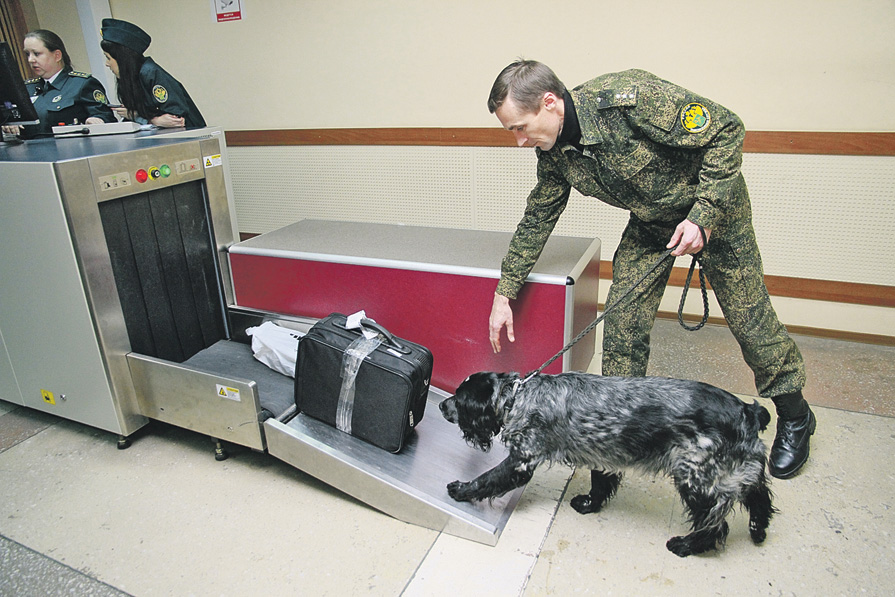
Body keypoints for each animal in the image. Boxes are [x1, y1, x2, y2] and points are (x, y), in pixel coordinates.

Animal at [440, 370, 776, 556]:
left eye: (459, 398)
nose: (442, 405)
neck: (519, 397)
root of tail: (748, 410)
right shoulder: (601, 455)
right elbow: (600, 484)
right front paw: (589, 504)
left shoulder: (522, 461)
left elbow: (486, 480)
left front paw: (461, 489)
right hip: (733, 470)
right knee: (758, 494)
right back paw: (758, 529)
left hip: (694, 477)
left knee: (717, 526)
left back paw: (685, 546)